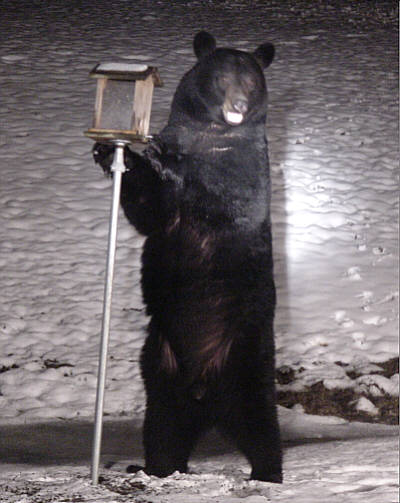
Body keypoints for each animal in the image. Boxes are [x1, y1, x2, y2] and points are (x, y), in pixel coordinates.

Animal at [93, 31, 282, 483]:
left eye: (251, 82)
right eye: (222, 79)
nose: (238, 106)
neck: (211, 133)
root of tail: (204, 395)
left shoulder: (237, 170)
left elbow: (194, 197)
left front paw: (144, 161)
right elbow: (149, 212)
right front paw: (112, 152)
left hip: (246, 354)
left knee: (261, 423)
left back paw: (267, 473)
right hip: (160, 366)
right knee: (162, 428)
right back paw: (156, 468)